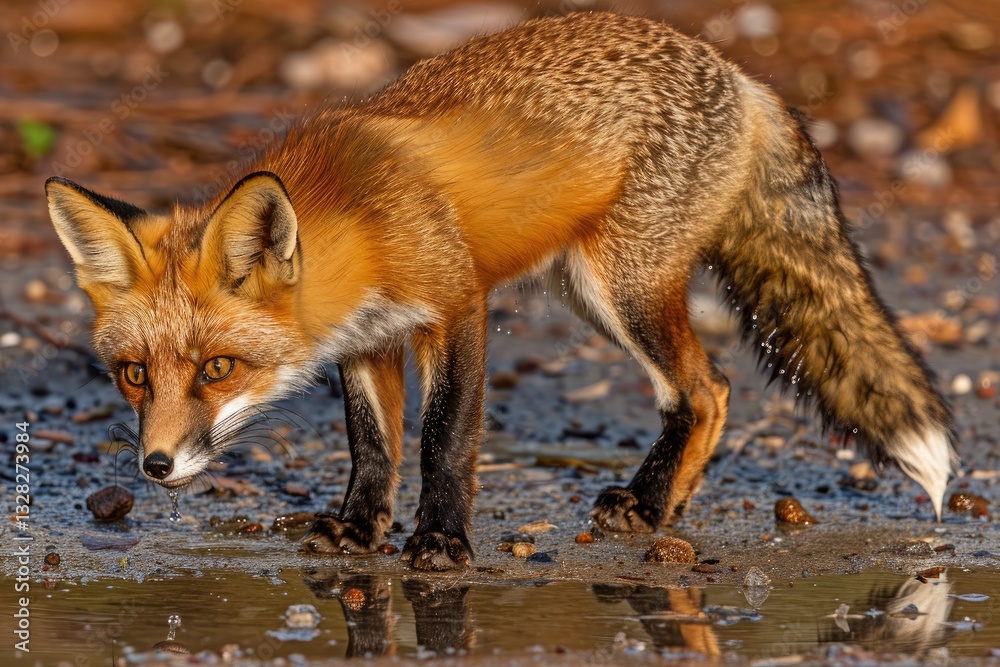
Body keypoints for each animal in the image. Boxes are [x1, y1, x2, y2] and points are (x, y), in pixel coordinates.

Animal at [47, 12, 957, 571]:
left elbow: (444, 438)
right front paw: (359, 526)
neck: (362, 222)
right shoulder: (367, 339)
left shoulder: (456, 307)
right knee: (709, 390)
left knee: (707, 387)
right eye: (134, 375)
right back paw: (668, 500)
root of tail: (737, 72)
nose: (156, 465)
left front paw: (441, 541)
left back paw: (650, 503)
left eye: (217, 369)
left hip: (619, 286)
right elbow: (373, 446)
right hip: (589, 288)